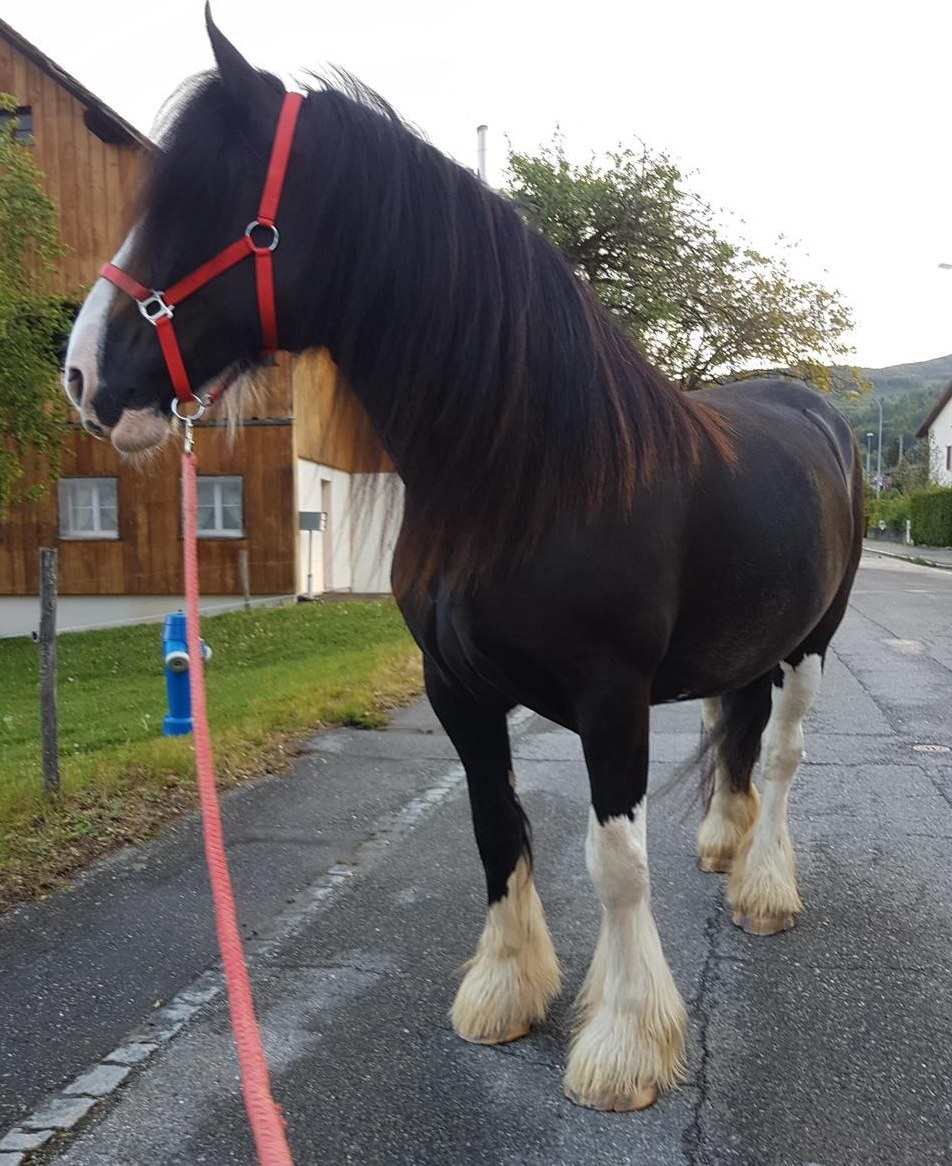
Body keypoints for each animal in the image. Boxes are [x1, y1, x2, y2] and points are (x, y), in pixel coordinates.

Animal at [63, 9, 863, 1113]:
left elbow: (616, 859)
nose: (84, 377)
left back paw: (766, 888)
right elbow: (494, 828)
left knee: (781, 756)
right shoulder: (456, 687)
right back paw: (725, 843)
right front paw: (503, 994)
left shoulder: (612, 695)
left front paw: (623, 1047)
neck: (537, 471)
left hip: (812, 643)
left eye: (214, 204)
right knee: (732, 733)